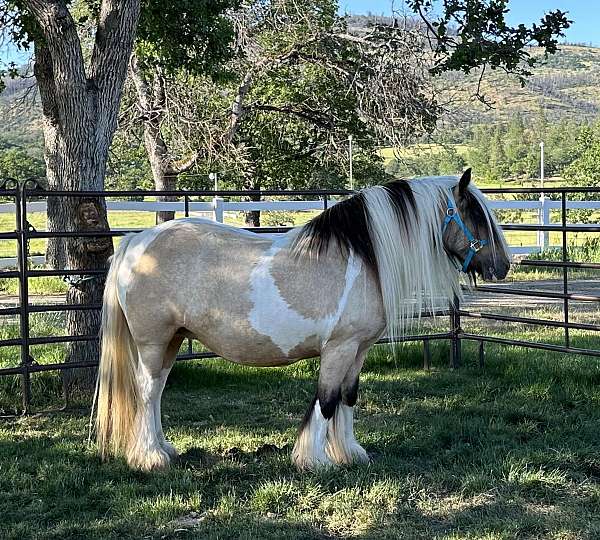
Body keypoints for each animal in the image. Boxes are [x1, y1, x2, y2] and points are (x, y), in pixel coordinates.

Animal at [95, 171, 510, 470]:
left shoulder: (358, 350)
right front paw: (315, 460)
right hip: (153, 341)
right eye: (476, 214)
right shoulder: (339, 348)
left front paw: (350, 453)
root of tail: (136, 241)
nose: (503, 266)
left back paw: (164, 449)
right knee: (148, 391)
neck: (363, 258)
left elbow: (348, 397)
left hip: (173, 340)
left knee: (157, 391)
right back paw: (151, 458)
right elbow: (326, 400)